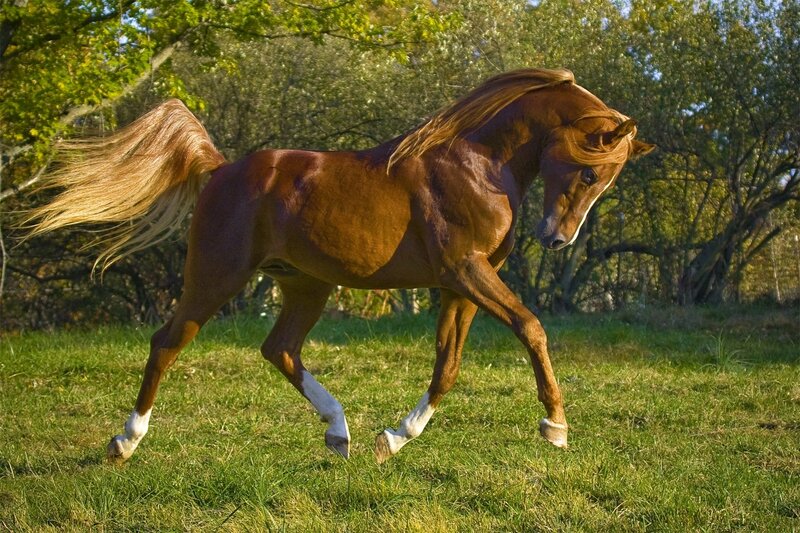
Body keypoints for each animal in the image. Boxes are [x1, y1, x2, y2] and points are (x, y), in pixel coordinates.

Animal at [25, 68, 654, 463]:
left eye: (606, 179)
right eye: (591, 171)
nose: (557, 239)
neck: (477, 163)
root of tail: (221, 168)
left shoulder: (460, 287)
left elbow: (447, 367)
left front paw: (394, 439)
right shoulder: (466, 272)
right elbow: (531, 327)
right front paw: (556, 428)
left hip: (307, 285)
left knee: (279, 349)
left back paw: (341, 433)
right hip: (216, 277)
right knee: (167, 343)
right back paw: (125, 442)